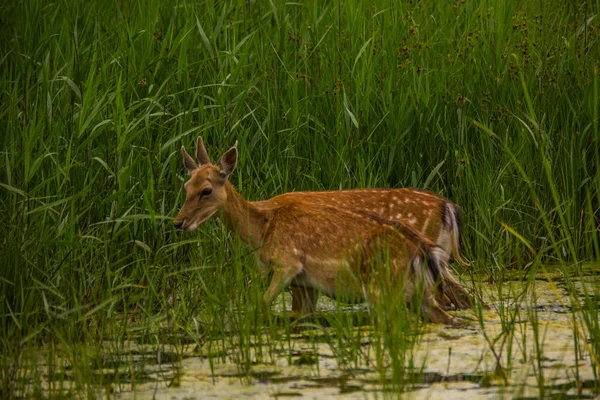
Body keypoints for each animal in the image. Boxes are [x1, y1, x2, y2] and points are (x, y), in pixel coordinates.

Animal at [173, 138, 478, 324]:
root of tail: (448, 206)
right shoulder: (303, 283)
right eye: (185, 187)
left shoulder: (289, 266)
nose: (179, 222)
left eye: (206, 190)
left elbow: (262, 305)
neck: (263, 225)